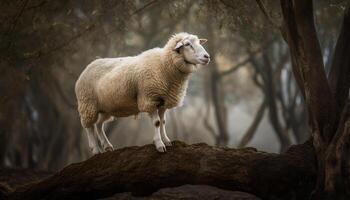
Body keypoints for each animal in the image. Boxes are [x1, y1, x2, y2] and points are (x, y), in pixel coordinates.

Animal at [75, 32, 209, 153]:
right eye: (187, 44)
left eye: (199, 42)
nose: (207, 56)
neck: (164, 65)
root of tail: (88, 66)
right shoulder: (149, 99)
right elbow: (157, 123)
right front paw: (159, 144)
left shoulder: (163, 102)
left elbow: (163, 122)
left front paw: (166, 140)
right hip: (88, 105)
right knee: (89, 127)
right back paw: (96, 150)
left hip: (106, 108)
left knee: (99, 125)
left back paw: (107, 146)